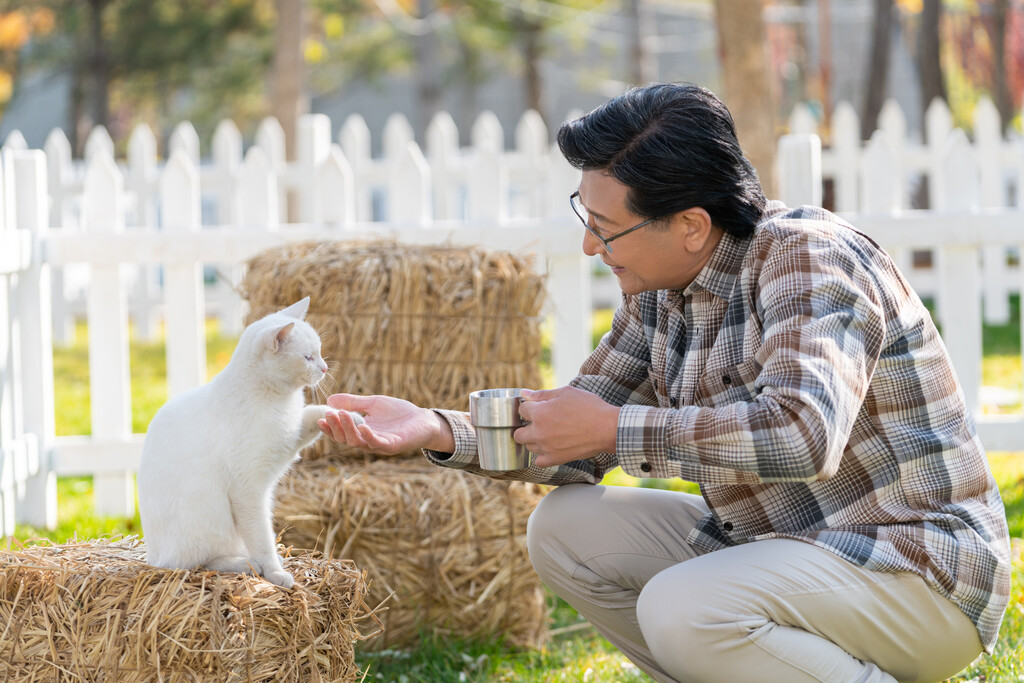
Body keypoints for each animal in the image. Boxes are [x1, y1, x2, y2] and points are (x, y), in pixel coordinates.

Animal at [138, 296, 331, 589]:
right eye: (308, 357)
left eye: (319, 352)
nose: (325, 368)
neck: (278, 400)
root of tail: (153, 558)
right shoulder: (247, 490)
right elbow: (262, 539)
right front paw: (275, 573)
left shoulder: (289, 441)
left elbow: (313, 415)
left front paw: (346, 416)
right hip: (207, 519)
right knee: (198, 562)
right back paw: (247, 564)